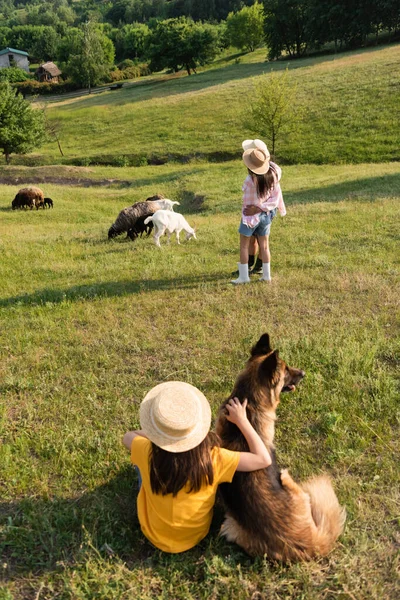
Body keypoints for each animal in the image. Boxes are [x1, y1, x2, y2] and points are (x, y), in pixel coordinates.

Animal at [216, 332, 344, 564]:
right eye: (286, 369)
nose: (304, 373)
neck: (249, 402)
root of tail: (312, 546)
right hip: (300, 498)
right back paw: (286, 477)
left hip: (231, 526)